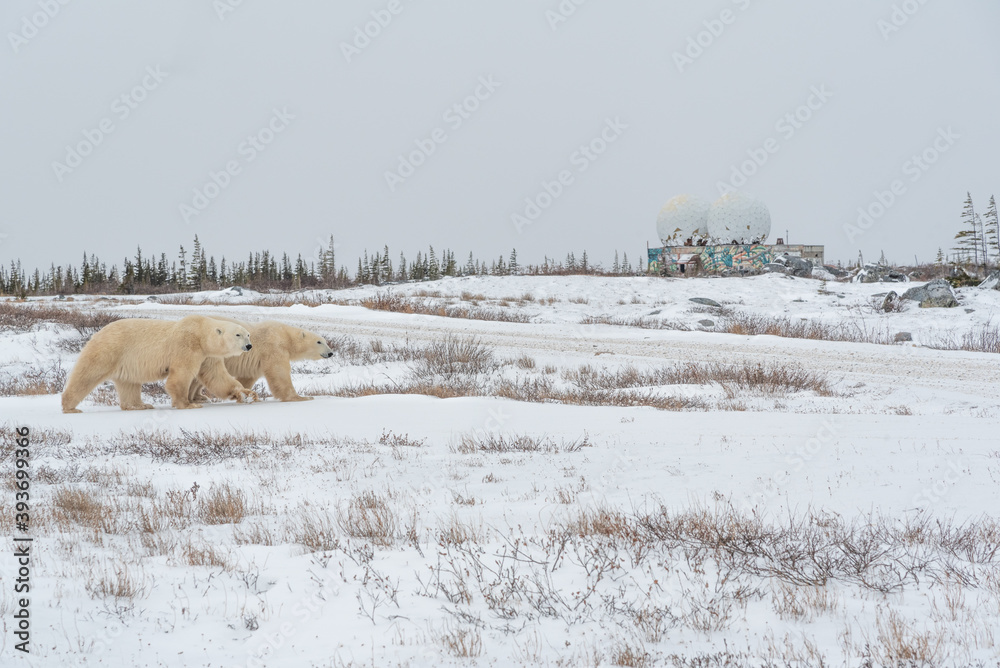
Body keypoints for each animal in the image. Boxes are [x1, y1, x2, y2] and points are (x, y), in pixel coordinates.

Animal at [61, 315, 258, 413]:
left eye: (248, 334)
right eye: (238, 335)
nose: (249, 346)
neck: (200, 334)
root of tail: (97, 332)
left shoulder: (207, 356)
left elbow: (217, 377)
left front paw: (246, 393)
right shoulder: (187, 346)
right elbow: (180, 375)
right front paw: (188, 404)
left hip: (125, 361)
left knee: (129, 384)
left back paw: (140, 405)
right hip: (108, 350)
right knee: (87, 374)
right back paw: (70, 407)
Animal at [188, 318, 333, 403]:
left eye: (325, 341)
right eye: (319, 341)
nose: (331, 353)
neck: (286, 336)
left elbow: (248, 377)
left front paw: (245, 394)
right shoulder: (273, 347)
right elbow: (279, 372)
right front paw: (301, 397)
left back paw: (199, 397)